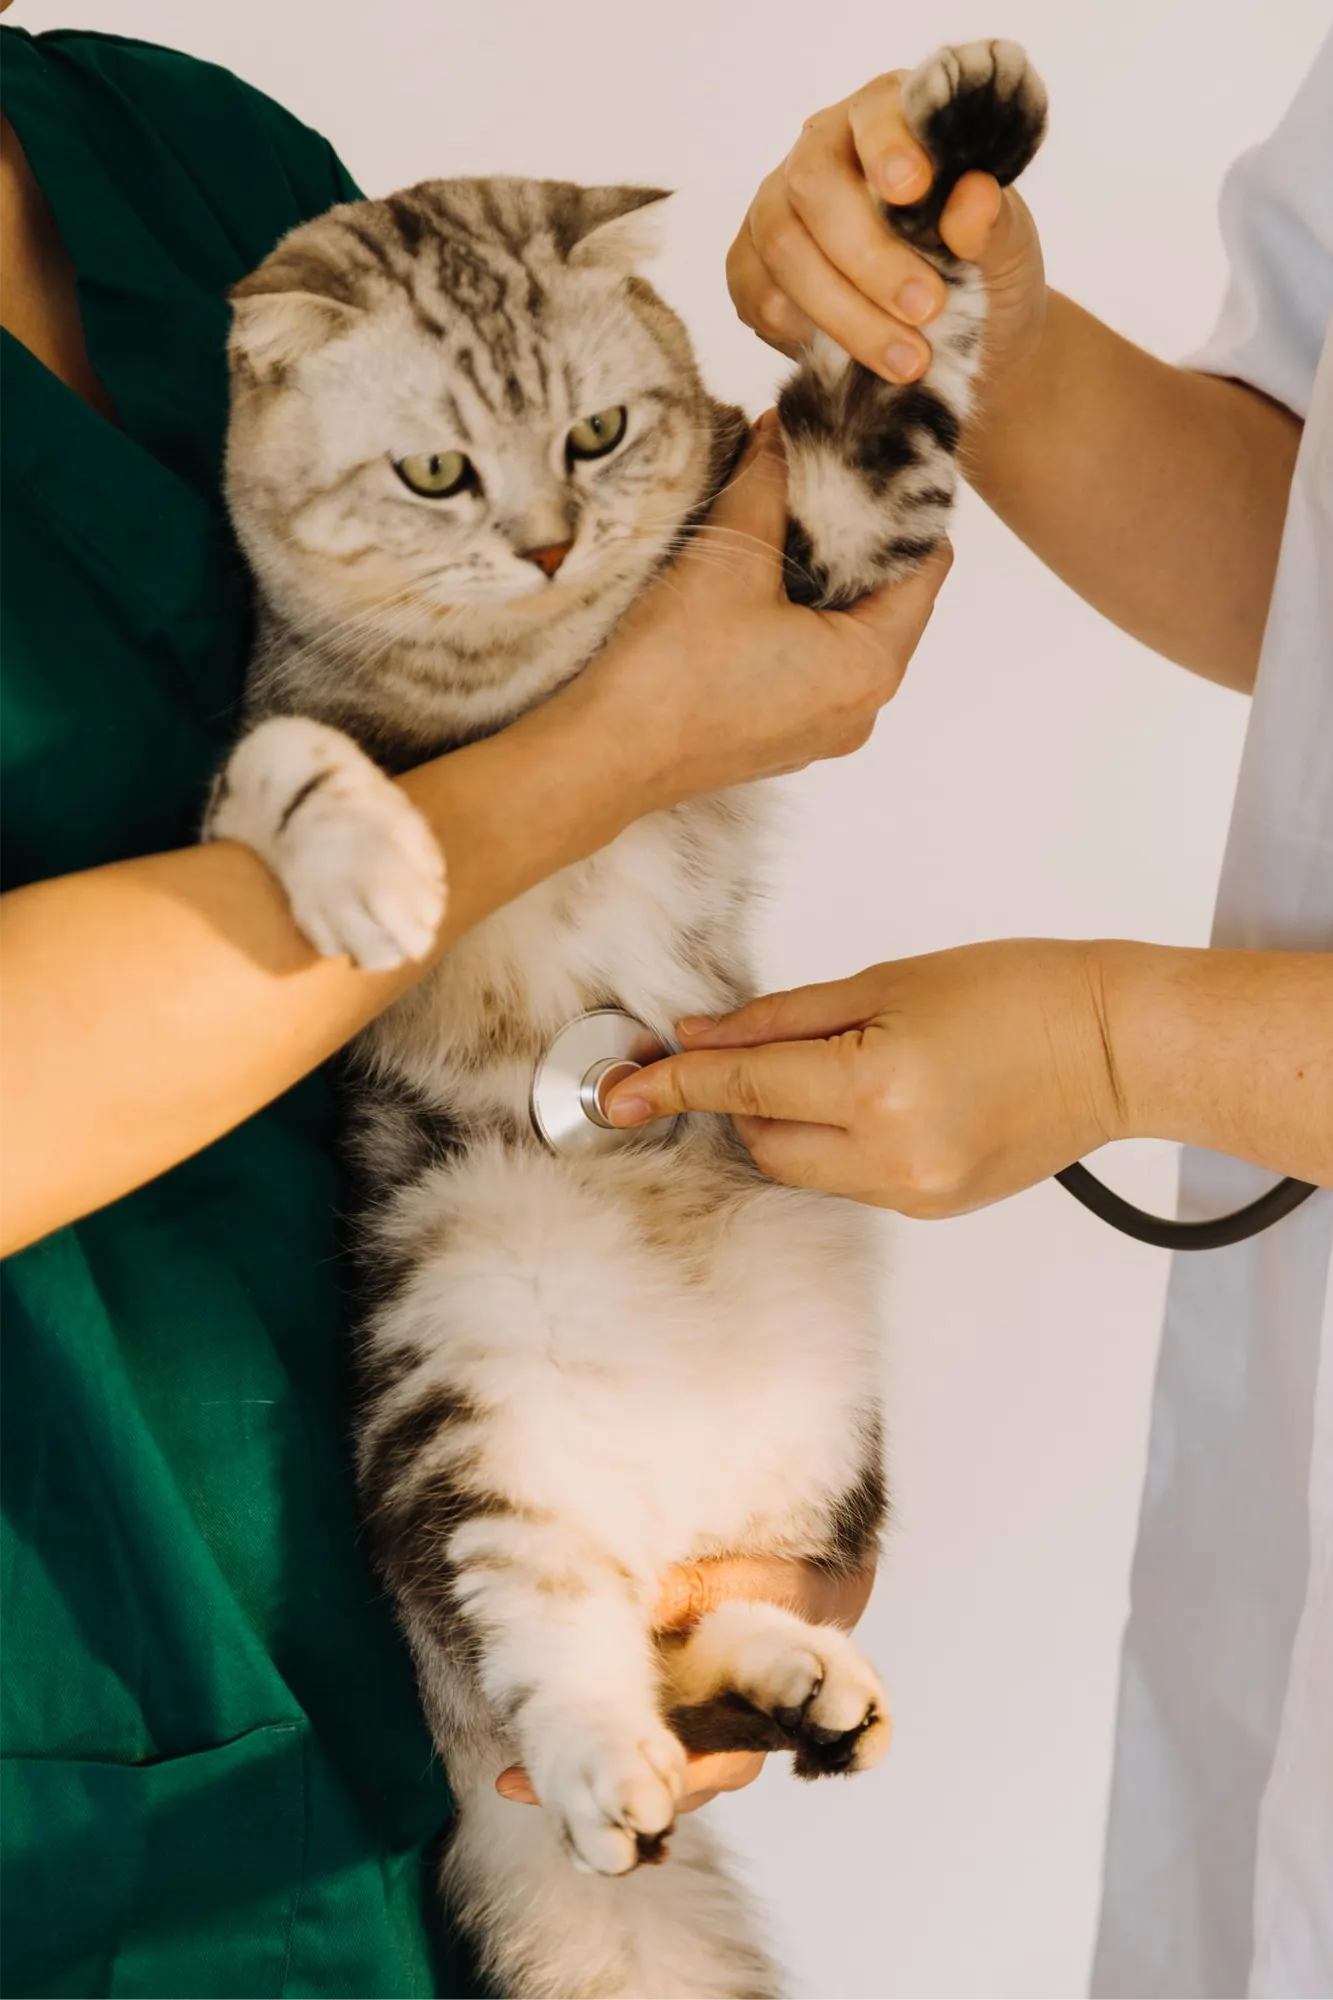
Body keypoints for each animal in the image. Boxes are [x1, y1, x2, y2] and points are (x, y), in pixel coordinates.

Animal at [206, 41, 1046, 2000]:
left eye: (596, 437)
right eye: (438, 472)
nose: (543, 545)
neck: (533, 672)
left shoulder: (830, 533)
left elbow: (880, 386)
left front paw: (942, 148)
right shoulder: (251, 753)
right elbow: (292, 766)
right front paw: (371, 868)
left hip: (823, 1459)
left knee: (689, 1629)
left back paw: (805, 1688)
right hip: (460, 1438)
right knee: (568, 1673)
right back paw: (618, 1775)